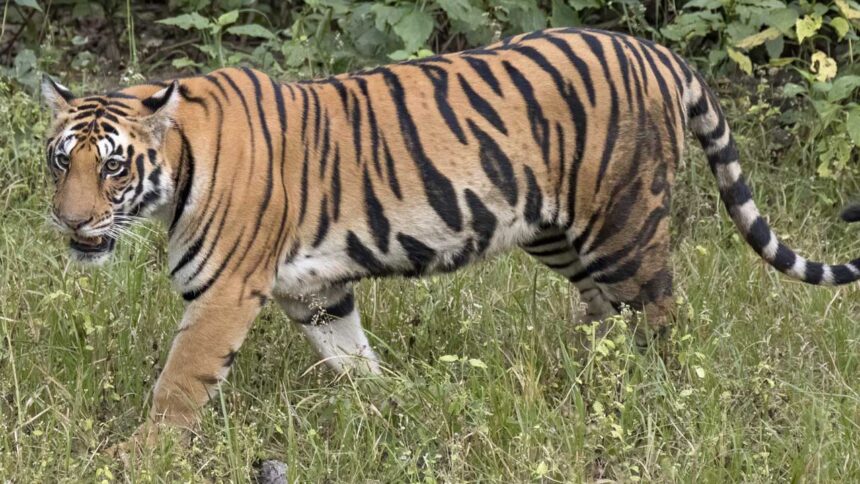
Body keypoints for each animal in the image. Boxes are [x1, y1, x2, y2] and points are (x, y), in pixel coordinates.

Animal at [41, 27, 860, 449]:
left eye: (112, 167)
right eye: (60, 160)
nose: (71, 222)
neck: (178, 168)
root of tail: (656, 51)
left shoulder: (224, 293)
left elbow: (180, 381)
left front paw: (141, 457)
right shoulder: (316, 290)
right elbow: (351, 356)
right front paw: (385, 406)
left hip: (623, 223)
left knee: (659, 315)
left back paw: (653, 399)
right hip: (556, 232)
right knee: (604, 313)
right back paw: (586, 384)